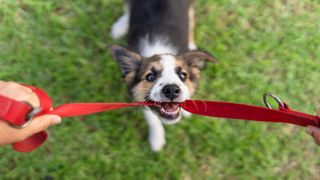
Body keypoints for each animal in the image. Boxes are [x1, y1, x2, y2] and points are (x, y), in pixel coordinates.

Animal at [109, 0, 216, 152]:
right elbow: (152, 119)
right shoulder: (140, 97)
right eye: (150, 77)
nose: (171, 90)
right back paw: (121, 26)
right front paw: (157, 139)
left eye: (183, 75)